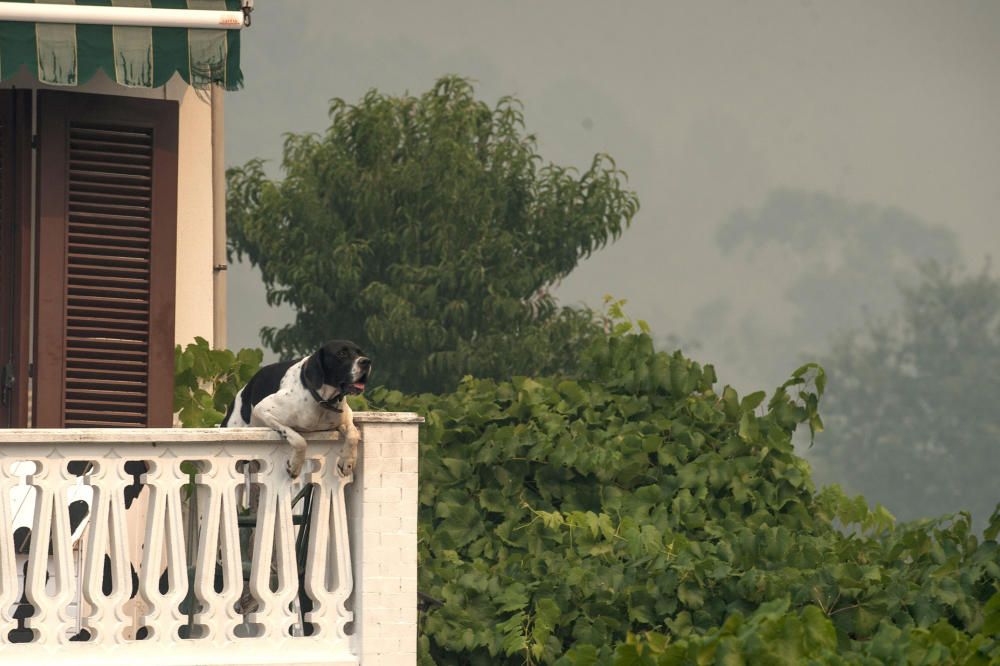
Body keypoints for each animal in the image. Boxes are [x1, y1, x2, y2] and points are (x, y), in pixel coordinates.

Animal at [222, 340, 372, 474]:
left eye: (360, 352)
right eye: (341, 353)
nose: (367, 361)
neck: (321, 399)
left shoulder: (346, 419)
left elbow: (353, 435)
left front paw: (347, 462)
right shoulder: (263, 410)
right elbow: (299, 440)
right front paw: (295, 465)